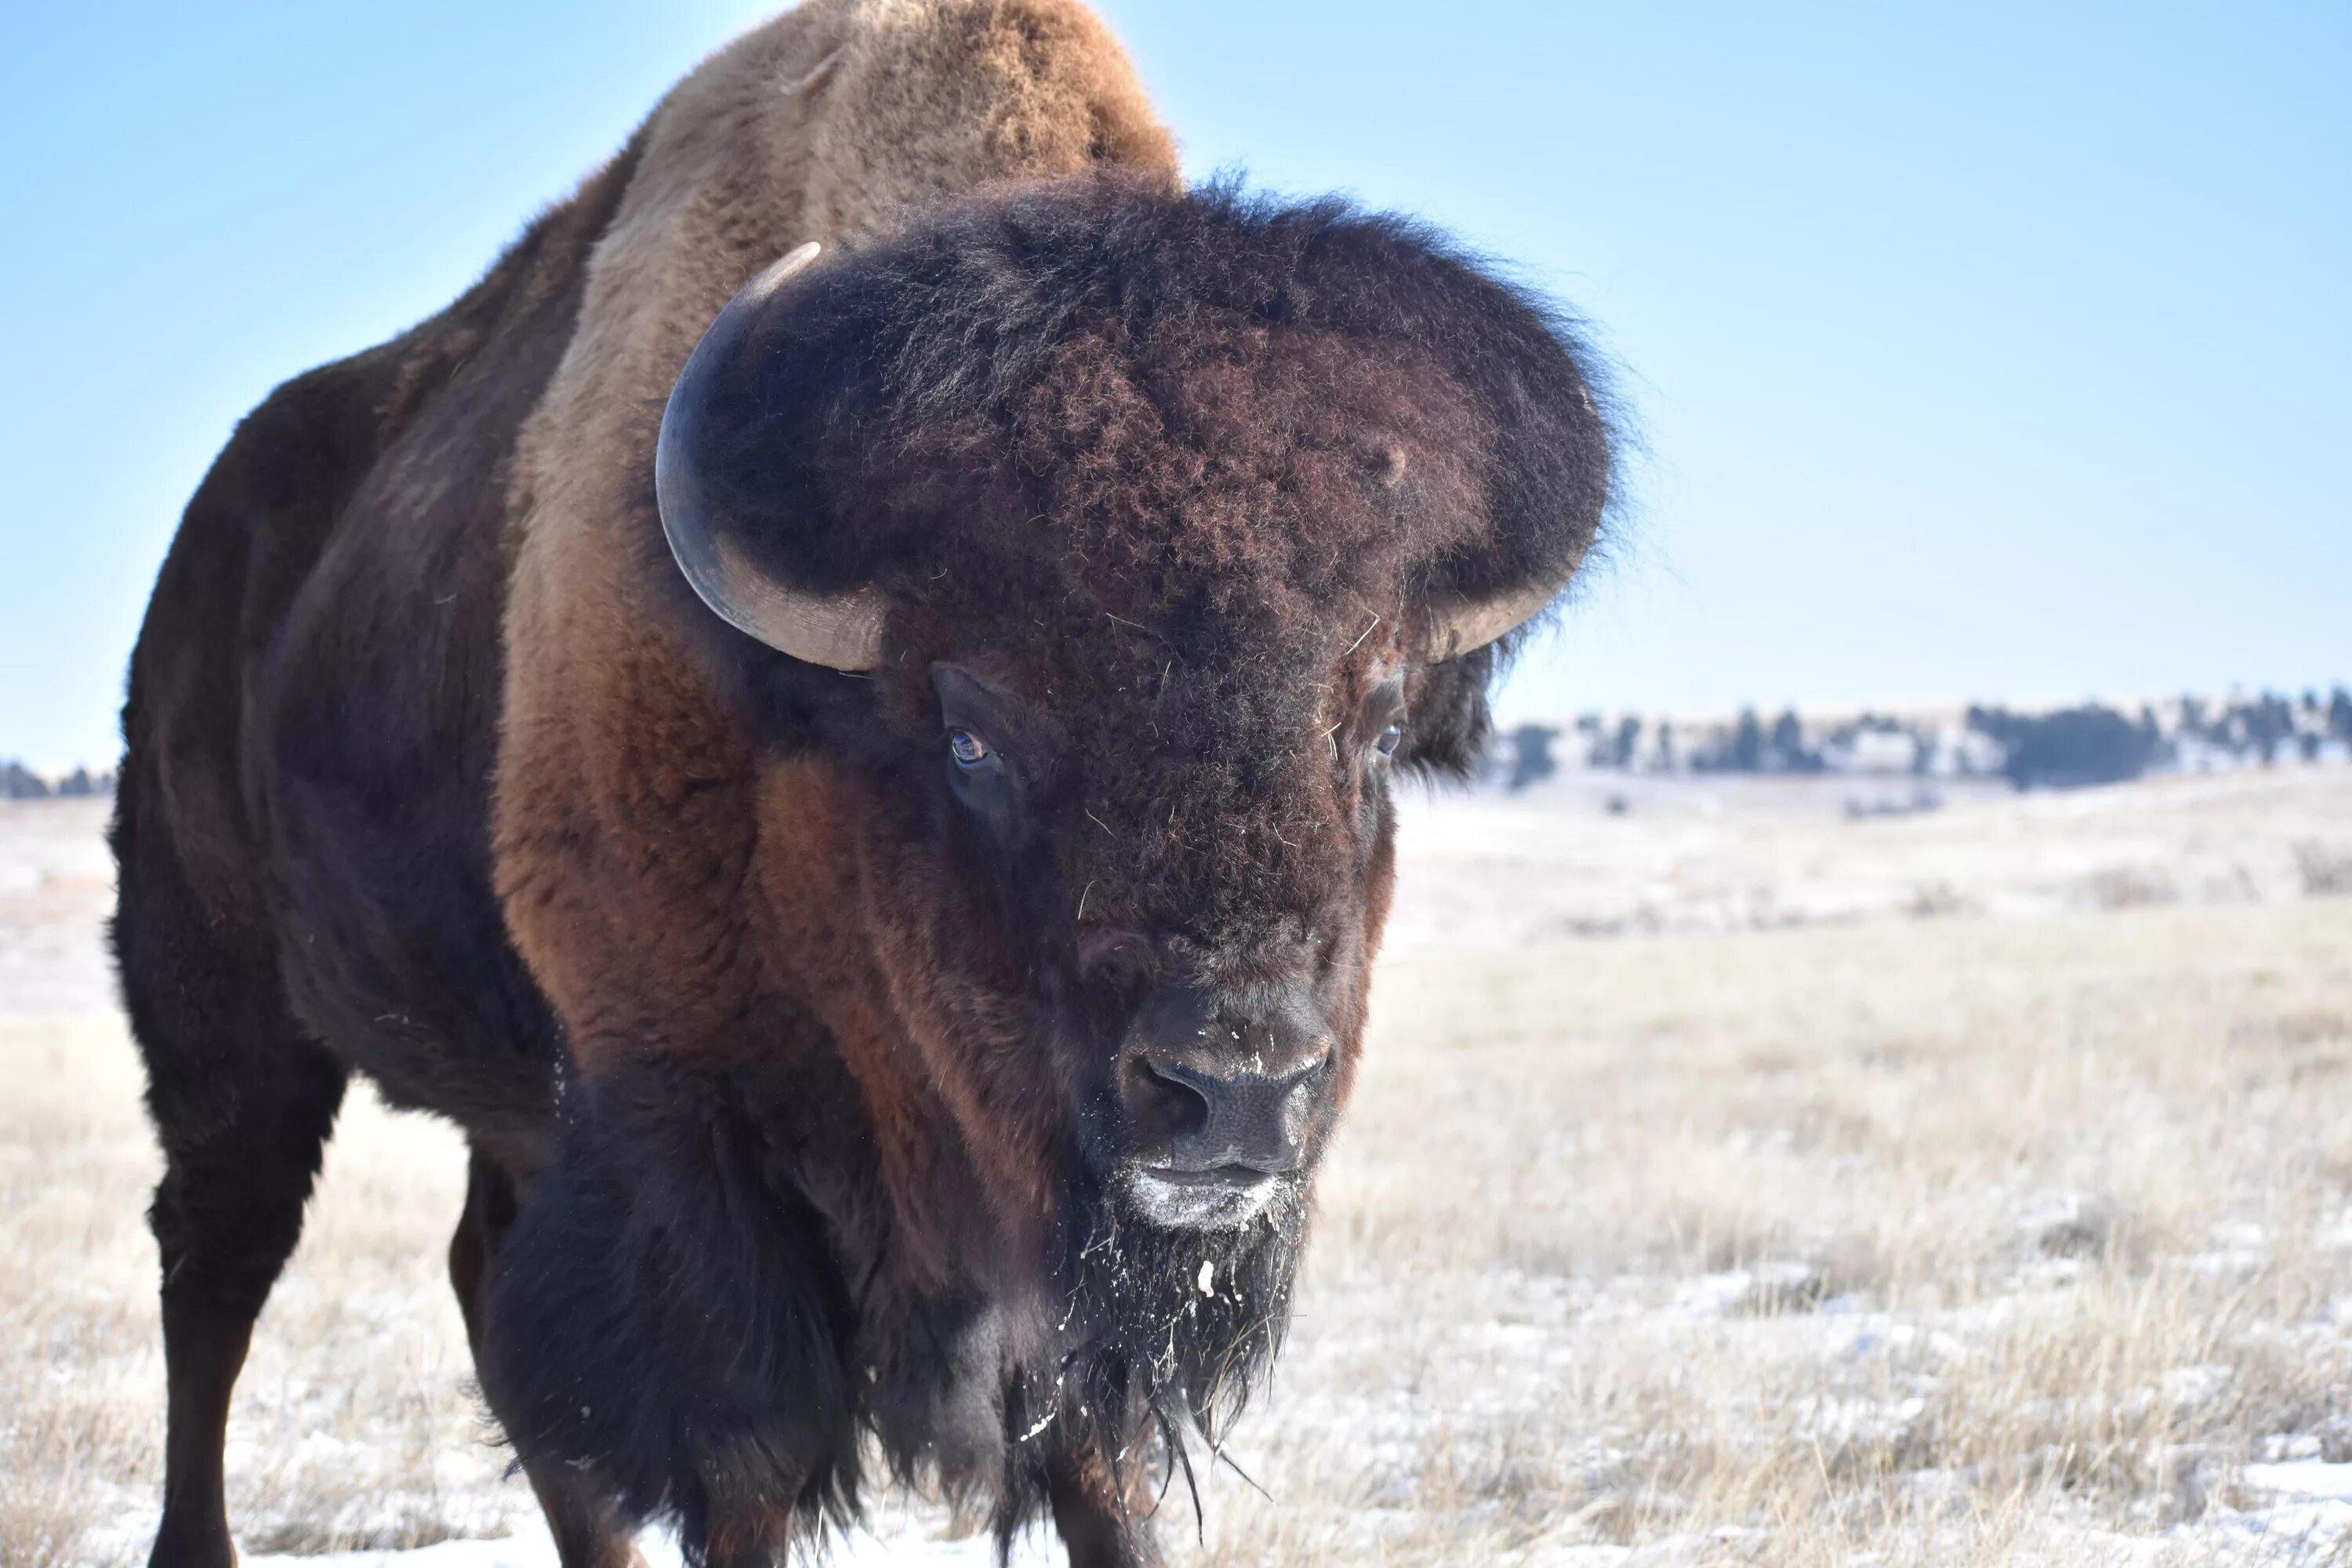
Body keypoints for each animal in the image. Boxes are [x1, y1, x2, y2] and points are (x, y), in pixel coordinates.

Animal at [114, 2, 1618, 1568]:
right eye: (971, 733)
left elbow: (1095, 1448)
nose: (1236, 1091)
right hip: (221, 1009)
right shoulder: (688, 1133)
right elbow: (749, 1448)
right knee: (218, 1260)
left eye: (1373, 724)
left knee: (477, 1290)